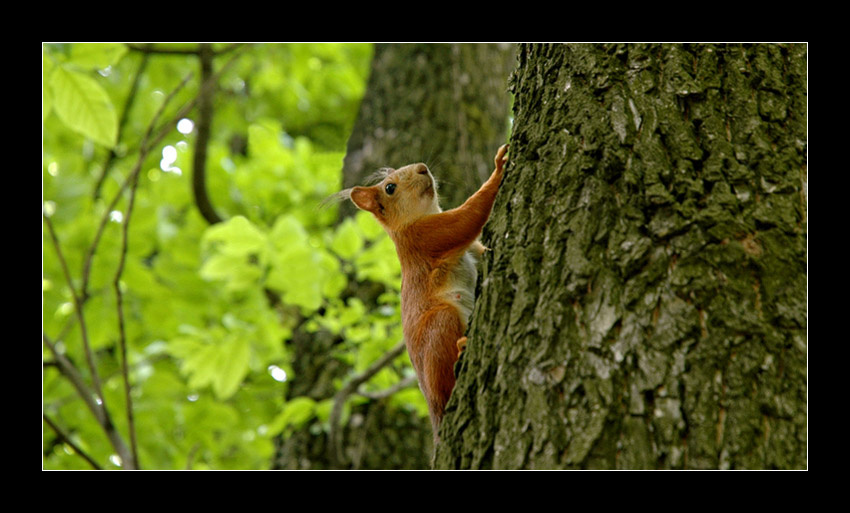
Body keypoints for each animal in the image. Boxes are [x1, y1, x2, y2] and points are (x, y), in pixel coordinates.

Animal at [345, 144, 508, 435]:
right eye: (390, 188)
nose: (422, 167)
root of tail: (434, 409)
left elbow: (478, 248)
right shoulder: (427, 237)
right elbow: (468, 218)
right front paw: (499, 168)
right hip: (441, 325)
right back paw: (462, 348)